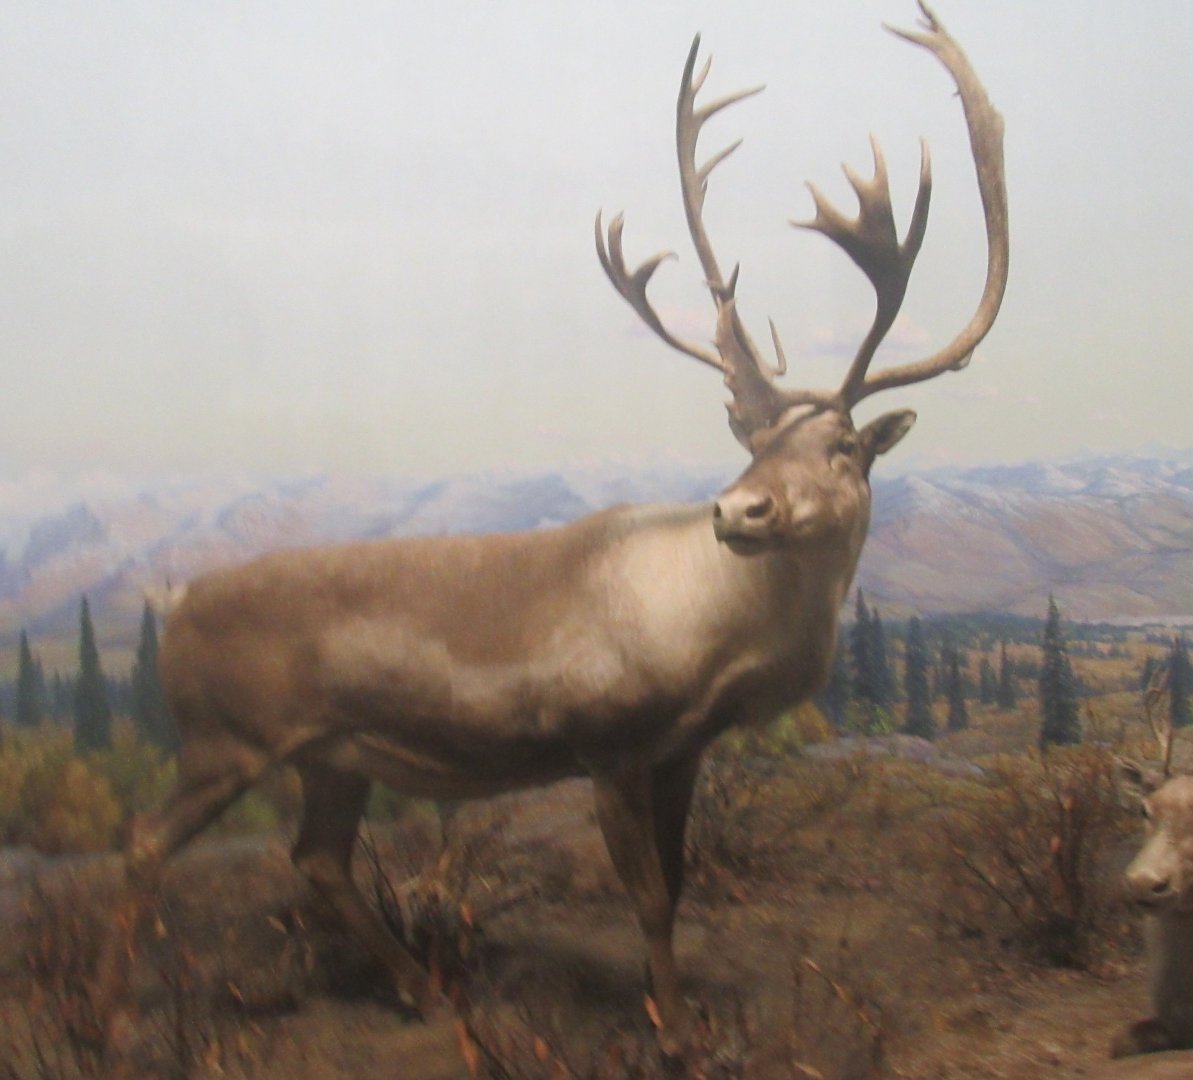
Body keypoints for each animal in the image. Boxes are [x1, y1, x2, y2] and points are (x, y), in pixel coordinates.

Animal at [105, 3, 1006, 1056]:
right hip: (225, 738)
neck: (717, 641)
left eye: (845, 448)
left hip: (333, 754)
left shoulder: (681, 748)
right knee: (144, 840)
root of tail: (173, 604)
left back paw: (424, 990)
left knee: (317, 858)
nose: (738, 510)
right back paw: (117, 1020)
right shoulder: (606, 740)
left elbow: (681, 882)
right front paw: (675, 1035)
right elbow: (647, 896)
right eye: (749, 442)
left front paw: (674, 1008)